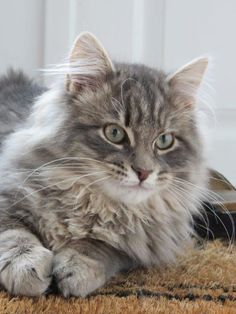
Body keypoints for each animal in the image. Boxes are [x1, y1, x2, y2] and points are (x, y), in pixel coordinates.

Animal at [0, 32, 208, 296]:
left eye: (164, 141)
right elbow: (15, 235)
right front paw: (26, 268)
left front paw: (77, 269)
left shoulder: (134, 247)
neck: (93, 203)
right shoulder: (7, 196)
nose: (143, 172)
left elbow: (101, 247)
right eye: (114, 133)